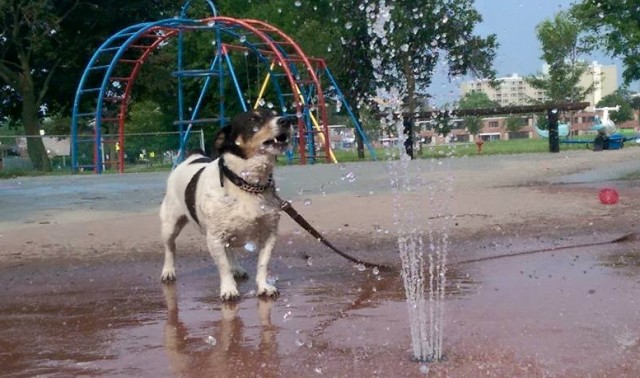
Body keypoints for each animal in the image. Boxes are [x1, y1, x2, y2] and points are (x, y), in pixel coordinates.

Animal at [159, 109, 292, 302]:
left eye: (275, 113)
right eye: (253, 119)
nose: (287, 120)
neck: (246, 184)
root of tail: (193, 156)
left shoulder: (269, 234)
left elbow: (262, 264)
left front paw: (264, 286)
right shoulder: (214, 238)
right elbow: (223, 267)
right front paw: (229, 289)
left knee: (229, 251)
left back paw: (236, 268)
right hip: (170, 225)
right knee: (170, 248)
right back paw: (168, 271)